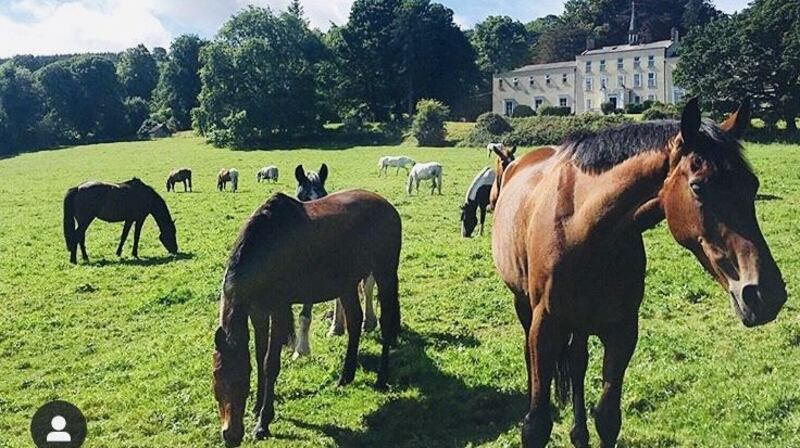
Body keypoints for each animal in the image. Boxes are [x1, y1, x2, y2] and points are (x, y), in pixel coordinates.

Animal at [212, 190, 402, 446]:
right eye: (216, 378)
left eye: (242, 381)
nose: (230, 435)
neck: (265, 250)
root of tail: (387, 205)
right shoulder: (257, 312)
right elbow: (260, 356)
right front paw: (257, 406)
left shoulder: (279, 310)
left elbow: (270, 364)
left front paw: (263, 422)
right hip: (347, 282)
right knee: (354, 321)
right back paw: (346, 376)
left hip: (385, 273)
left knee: (386, 322)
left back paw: (382, 378)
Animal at [292, 163, 378, 359]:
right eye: (302, 197)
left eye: (323, 196)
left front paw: (301, 351)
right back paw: (337, 327)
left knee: (368, 287)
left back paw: (369, 322)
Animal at [491, 98, 787, 448]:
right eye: (698, 187)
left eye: (752, 185)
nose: (765, 294)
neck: (582, 228)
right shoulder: (546, 326)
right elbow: (535, 426)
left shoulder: (622, 330)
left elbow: (608, 418)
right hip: (524, 306)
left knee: (577, 364)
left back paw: (579, 434)